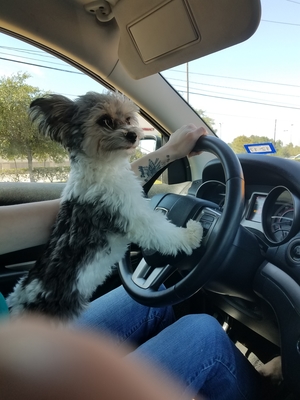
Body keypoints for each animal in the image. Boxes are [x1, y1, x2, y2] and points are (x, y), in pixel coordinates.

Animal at [7, 91, 203, 322]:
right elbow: (162, 232)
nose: (132, 135)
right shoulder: (132, 214)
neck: (103, 167)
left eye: (128, 119)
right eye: (105, 121)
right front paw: (192, 234)